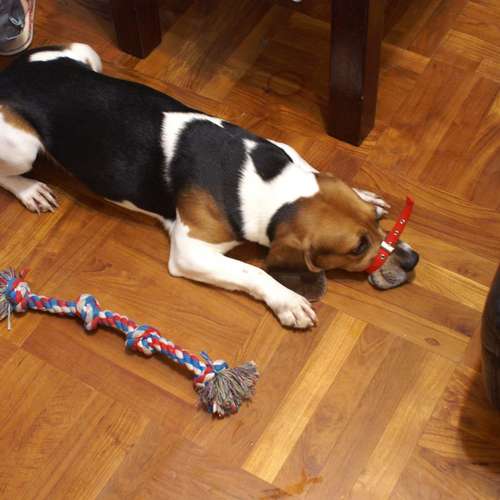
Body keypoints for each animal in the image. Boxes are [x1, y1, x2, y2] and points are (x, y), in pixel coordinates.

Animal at [0, 43, 419, 329]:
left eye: (374, 222)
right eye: (357, 248)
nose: (412, 260)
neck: (263, 183)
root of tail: (10, 75)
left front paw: (367, 193)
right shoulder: (190, 250)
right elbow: (255, 272)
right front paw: (287, 299)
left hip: (85, 54)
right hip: (23, 147)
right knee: (7, 174)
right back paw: (31, 191)